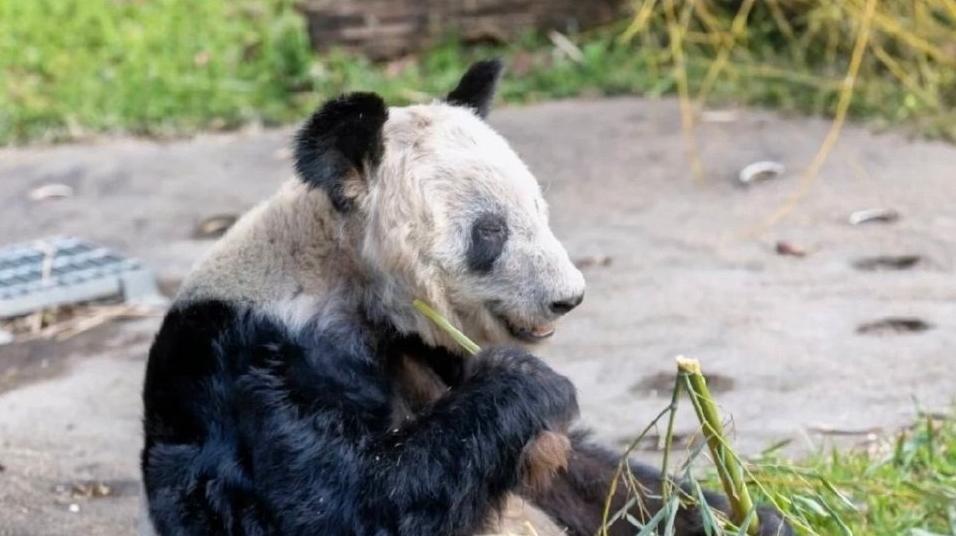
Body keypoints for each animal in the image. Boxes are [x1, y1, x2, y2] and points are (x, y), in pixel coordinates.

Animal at [138, 59, 788, 536]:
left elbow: (583, 477)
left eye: (538, 209)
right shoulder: (257, 362)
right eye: (489, 232)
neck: (343, 269)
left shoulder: (423, 349)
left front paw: (747, 516)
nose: (568, 298)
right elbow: (335, 503)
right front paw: (529, 382)